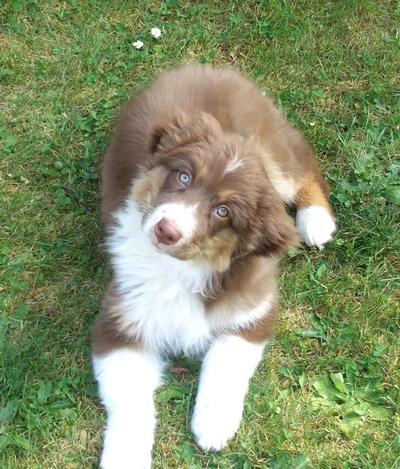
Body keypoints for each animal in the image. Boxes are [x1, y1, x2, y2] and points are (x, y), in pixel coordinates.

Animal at [92, 65, 336, 469]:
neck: (185, 266)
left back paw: (316, 221)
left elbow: (225, 362)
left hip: (273, 151)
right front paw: (125, 458)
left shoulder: (253, 309)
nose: (166, 230)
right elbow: (129, 404)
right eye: (184, 176)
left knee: (305, 169)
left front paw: (213, 423)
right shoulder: (120, 323)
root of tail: (206, 68)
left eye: (223, 211)